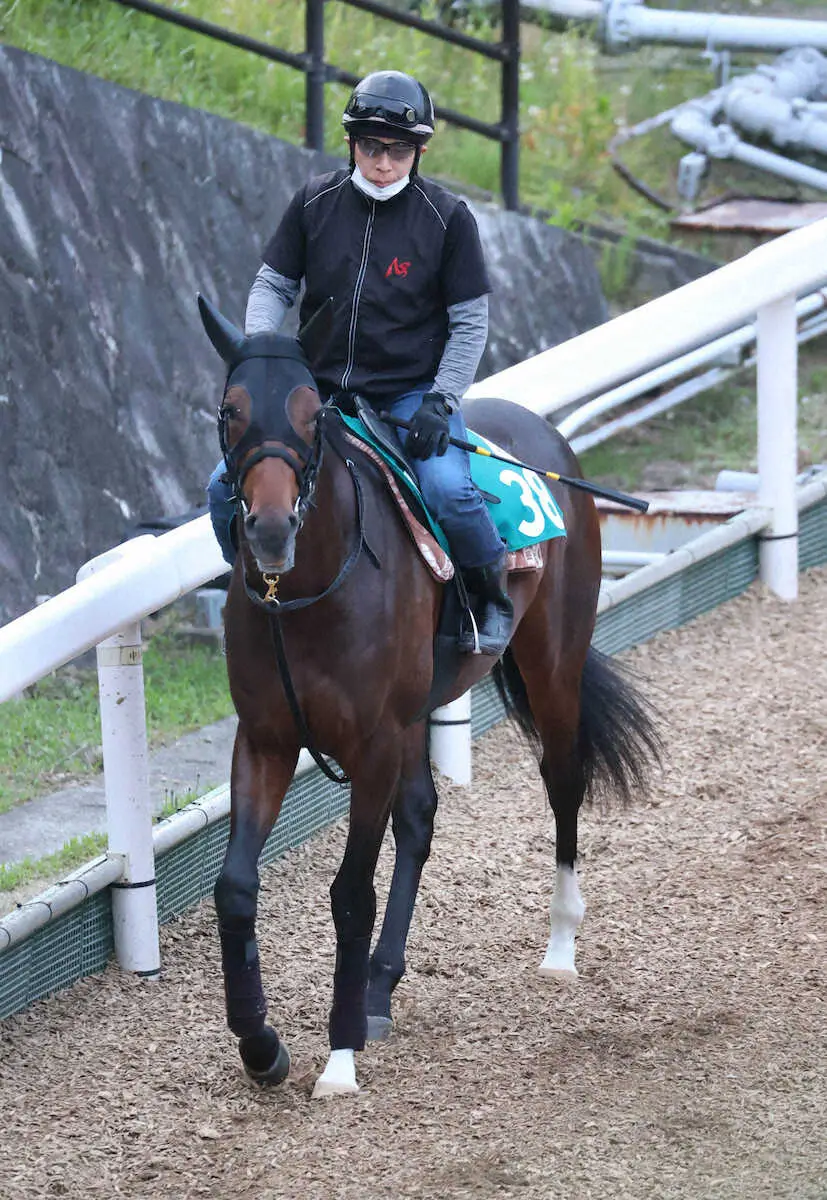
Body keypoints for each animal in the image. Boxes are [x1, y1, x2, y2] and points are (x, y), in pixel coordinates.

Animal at [198, 297, 657, 1099]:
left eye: (312, 414)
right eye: (232, 410)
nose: (272, 528)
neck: (306, 594)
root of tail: (546, 439)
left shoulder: (372, 741)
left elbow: (350, 892)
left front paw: (339, 1057)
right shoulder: (267, 737)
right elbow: (234, 887)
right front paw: (260, 1044)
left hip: (552, 662)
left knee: (561, 779)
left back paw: (559, 945)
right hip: (417, 709)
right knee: (418, 817)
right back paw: (380, 985)